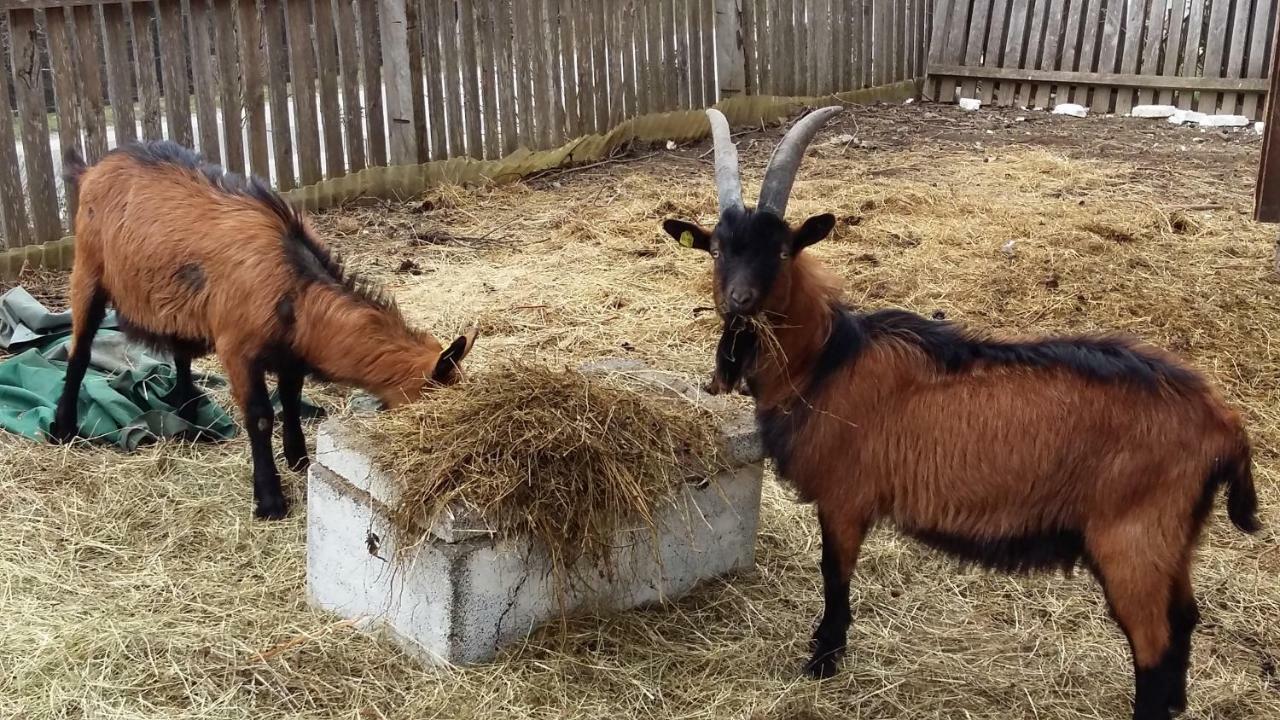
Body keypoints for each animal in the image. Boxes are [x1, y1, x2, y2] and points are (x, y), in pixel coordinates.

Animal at [52, 140, 478, 517]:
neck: (296, 290)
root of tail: (91, 169)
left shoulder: (290, 353)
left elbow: (290, 400)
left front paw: (299, 458)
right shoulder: (238, 350)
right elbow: (259, 416)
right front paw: (270, 500)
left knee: (180, 352)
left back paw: (189, 414)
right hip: (88, 269)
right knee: (80, 349)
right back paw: (63, 428)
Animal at [665, 106, 1264, 717]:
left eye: (783, 250)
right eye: (718, 249)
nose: (738, 303)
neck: (829, 358)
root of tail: (1223, 422)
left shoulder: (845, 496)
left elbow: (835, 576)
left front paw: (823, 660)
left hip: (1135, 540)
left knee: (1154, 645)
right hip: (1174, 540)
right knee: (1185, 619)